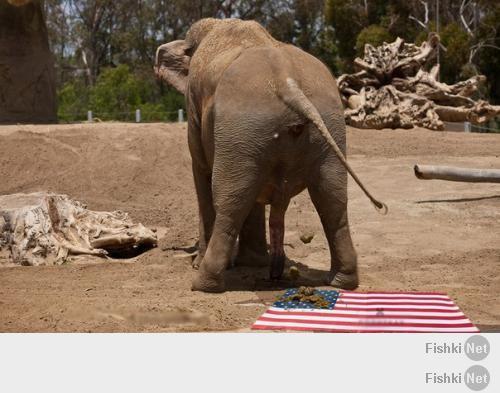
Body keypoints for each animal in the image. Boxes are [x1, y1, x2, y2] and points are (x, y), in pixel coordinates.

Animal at [154, 19, 384, 294]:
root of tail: (289, 83)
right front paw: (253, 264)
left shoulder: (195, 109)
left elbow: (202, 171)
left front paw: (208, 264)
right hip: (326, 125)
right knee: (331, 199)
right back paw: (342, 281)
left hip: (243, 127)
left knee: (230, 201)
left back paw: (203, 284)